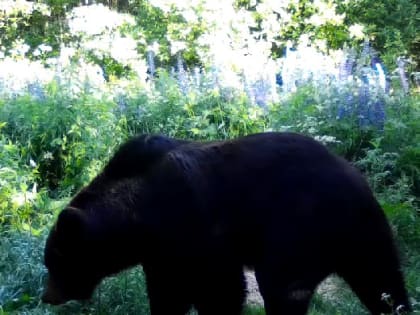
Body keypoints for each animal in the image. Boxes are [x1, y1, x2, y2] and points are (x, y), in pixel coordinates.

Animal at [41, 132, 410, 314]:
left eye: (54, 261)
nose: (48, 296)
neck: (138, 218)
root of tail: (354, 176)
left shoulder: (197, 229)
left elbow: (219, 289)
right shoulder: (162, 254)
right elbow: (166, 292)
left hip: (298, 230)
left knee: (283, 289)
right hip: (365, 233)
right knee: (383, 283)